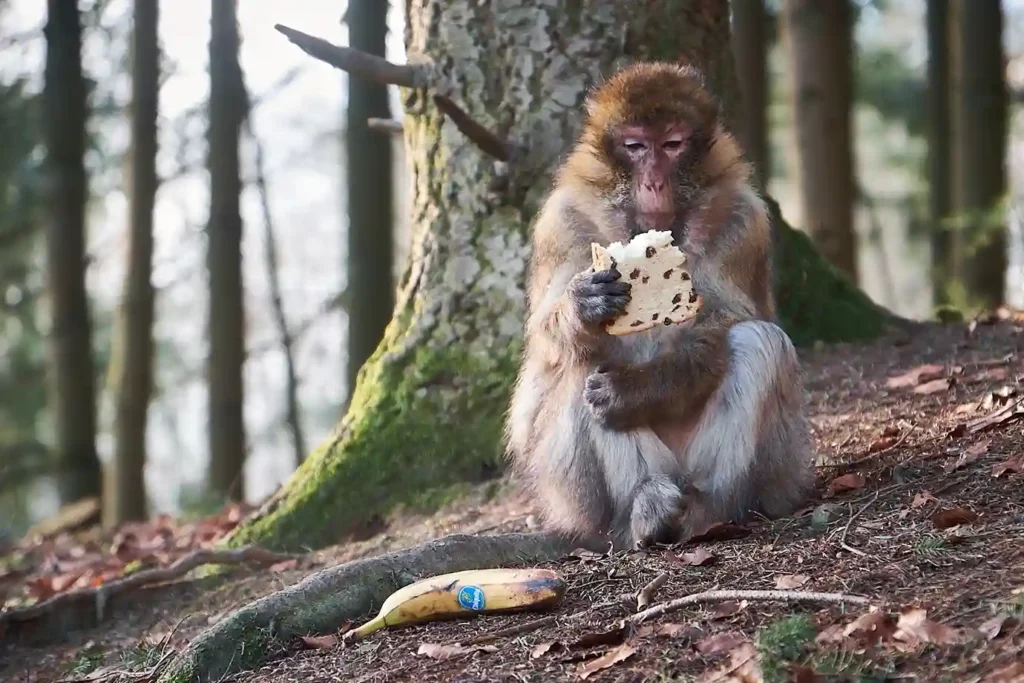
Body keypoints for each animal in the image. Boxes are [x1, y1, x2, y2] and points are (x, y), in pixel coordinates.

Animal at [505, 61, 815, 550]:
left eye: (672, 144)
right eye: (635, 147)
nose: (653, 181)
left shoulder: (743, 222)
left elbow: (726, 323)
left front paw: (636, 391)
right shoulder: (561, 222)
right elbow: (544, 341)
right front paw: (581, 306)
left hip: (778, 471)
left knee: (760, 341)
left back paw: (708, 508)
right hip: (570, 500)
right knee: (581, 361)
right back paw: (647, 507)